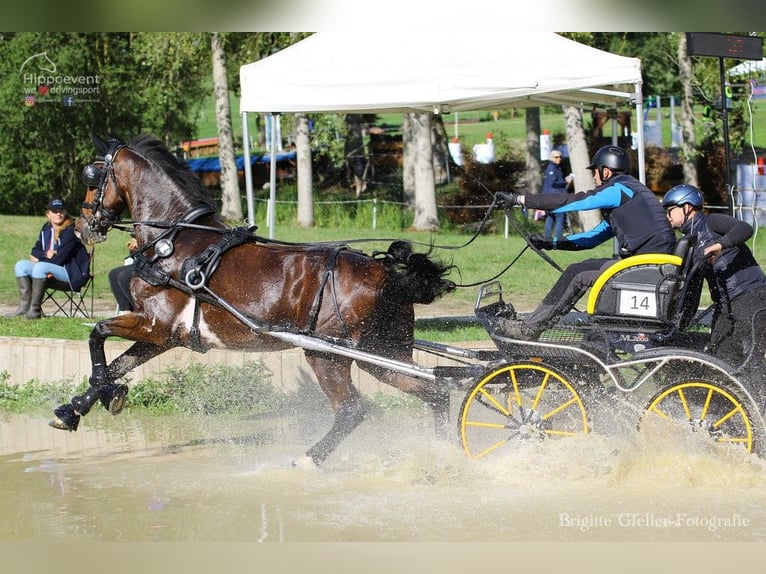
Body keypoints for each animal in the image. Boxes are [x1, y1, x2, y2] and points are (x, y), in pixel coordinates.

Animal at [51, 134, 460, 468]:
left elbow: (97, 334)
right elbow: (118, 363)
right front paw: (77, 407)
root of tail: (388, 274)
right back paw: (442, 453)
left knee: (352, 409)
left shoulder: (154, 324)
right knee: (436, 392)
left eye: (92, 176)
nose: (82, 227)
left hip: (327, 354)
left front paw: (99, 395)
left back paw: (308, 461)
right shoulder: (166, 336)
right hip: (382, 354)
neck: (176, 242)